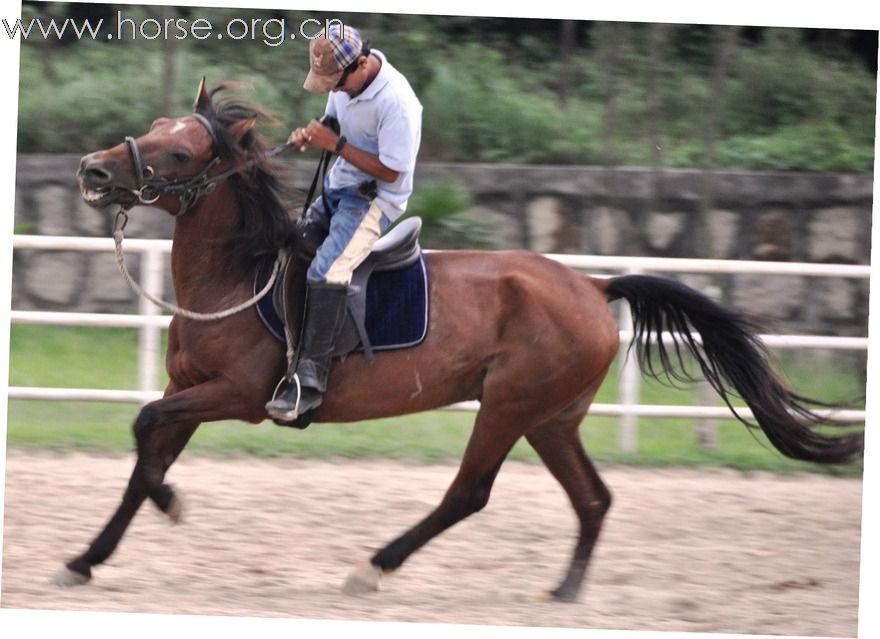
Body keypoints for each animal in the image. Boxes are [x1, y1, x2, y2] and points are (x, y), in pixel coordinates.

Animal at [63, 77, 868, 604]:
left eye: (178, 154)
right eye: (154, 128)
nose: (93, 169)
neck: (238, 274)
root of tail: (591, 286)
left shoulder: (237, 395)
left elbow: (144, 432)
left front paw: (170, 504)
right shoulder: (188, 389)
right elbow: (145, 452)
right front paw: (86, 556)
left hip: (509, 406)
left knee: (469, 491)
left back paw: (374, 567)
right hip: (551, 418)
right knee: (593, 497)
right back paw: (565, 589)